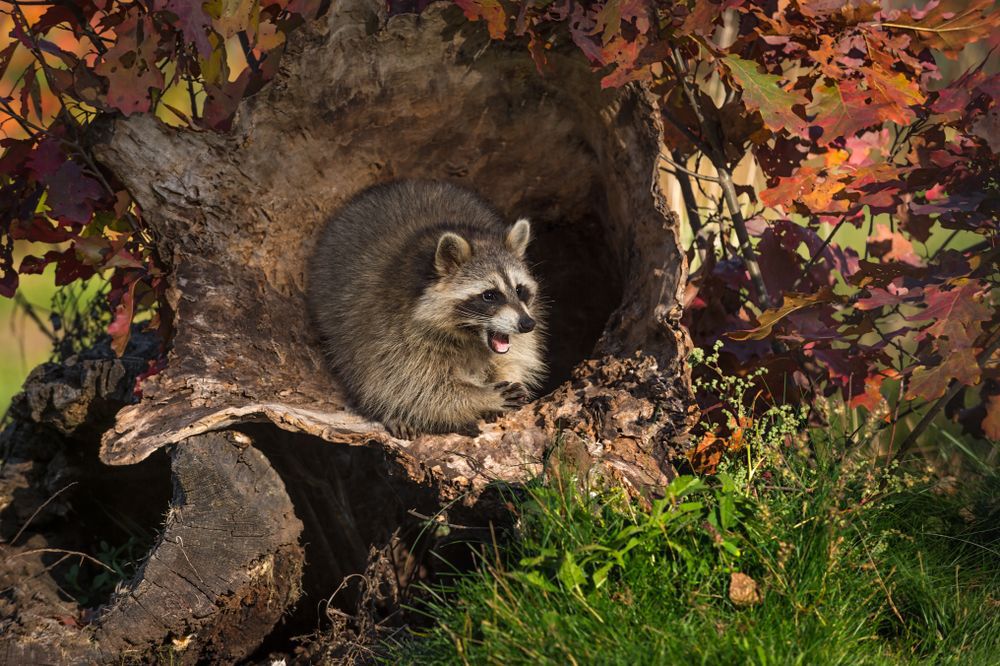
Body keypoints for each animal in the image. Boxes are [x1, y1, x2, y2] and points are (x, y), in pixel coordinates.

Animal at [306, 180, 546, 439]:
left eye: (519, 290)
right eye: (489, 295)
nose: (527, 324)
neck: (471, 337)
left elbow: (517, 355)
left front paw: (505, 376)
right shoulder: (390, 327)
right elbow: (415, 387)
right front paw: (481, 397)